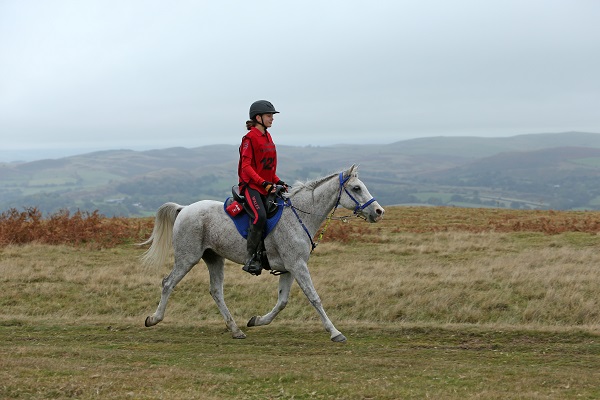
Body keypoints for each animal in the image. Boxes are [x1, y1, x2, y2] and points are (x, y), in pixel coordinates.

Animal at [141, 164, 384, 342]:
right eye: (356, 188)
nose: (378, 211)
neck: (299, 216)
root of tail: (184, 209)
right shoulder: (297, 265)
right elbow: (314, 297)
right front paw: (335, 332)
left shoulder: (289, 268)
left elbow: (282, 301)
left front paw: (256, 320)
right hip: (187, 258)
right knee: (168, 283)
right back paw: (154, 319)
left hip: (214, 258)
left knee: (216, 291)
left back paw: (236, 330)